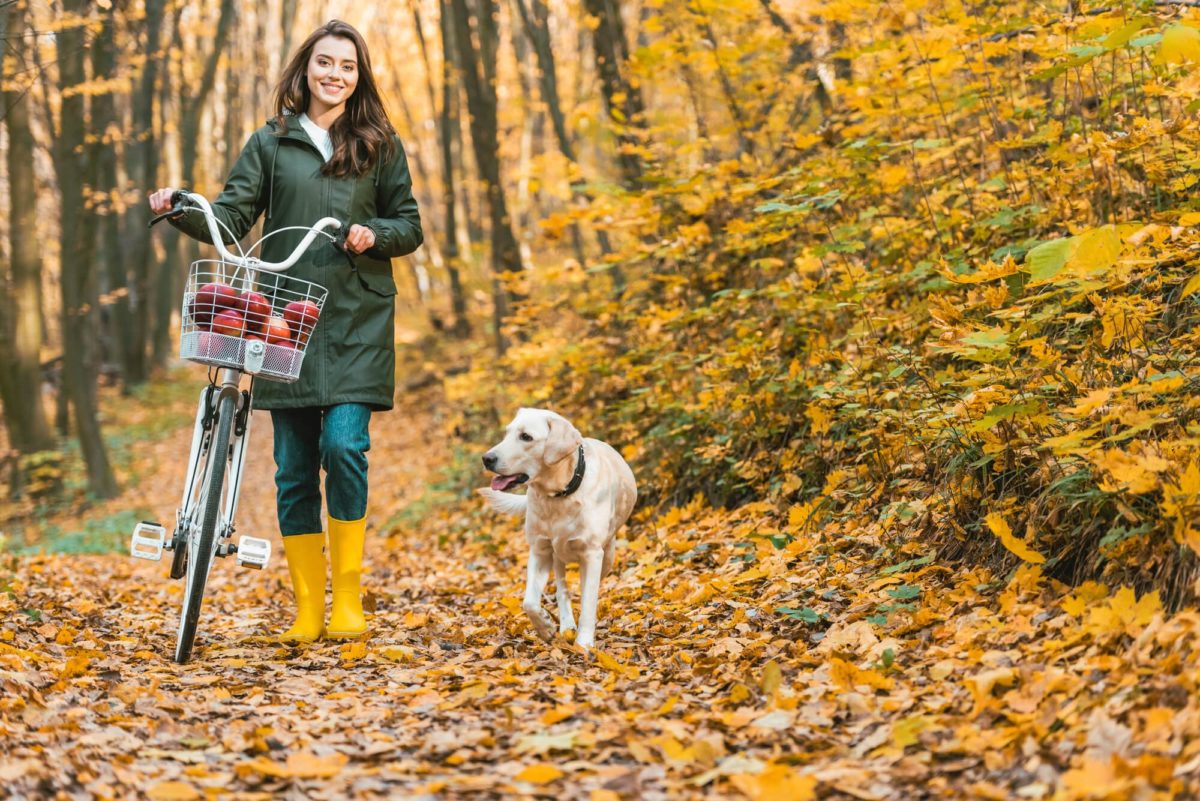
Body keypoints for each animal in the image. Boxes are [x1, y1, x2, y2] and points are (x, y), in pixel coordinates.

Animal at [477, 407, 638, 652]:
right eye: (507, 433)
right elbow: (529, 602)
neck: (558, 495)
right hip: (557, 556)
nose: (487, 459)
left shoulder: (592, 554)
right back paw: (566, 624)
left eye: (526, 437)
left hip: (607, 555)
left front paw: (584, 642)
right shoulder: (540, 550)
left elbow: (588, 600)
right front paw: (545, 627)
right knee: (562, 589)